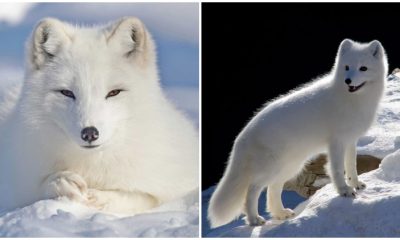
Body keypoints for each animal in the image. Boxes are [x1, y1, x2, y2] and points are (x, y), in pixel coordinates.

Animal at [0, 17, 199, 215]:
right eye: (67, 93)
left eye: (114, 92)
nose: (89, 133)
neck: (92, 164)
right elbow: (38, 187)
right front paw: (62, 182)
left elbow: (142, 197)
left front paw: (101, 198)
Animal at [209, 39, 388, 227]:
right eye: (346, 67)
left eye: (363, 68)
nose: (348, 81)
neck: (353, 100)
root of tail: (243, 135)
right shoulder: (336, 142)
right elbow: (338, 169)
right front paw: (344, 191)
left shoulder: (351, 140)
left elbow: (351, 166)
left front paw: (356, 184)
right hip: (271, 168)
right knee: (252, 189)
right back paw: (254, 219)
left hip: (290, 167)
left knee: (273, 188)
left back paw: (280, 214)